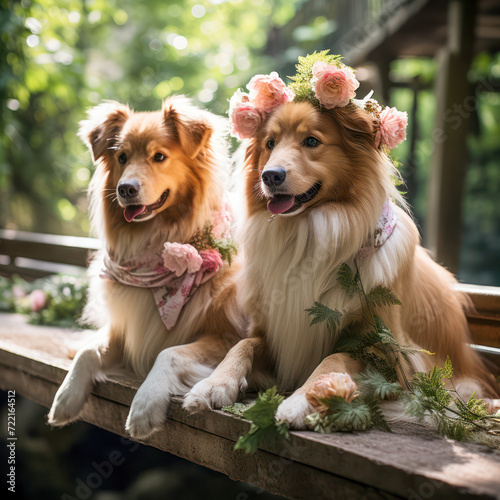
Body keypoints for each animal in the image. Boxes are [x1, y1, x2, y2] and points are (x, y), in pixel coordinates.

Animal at [47, 96, 247, 438]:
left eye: (159, 156)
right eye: (122, 157)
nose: (125, 188)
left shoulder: (225, 335)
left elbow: (169, 352)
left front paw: (145, 404)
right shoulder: (126, 327)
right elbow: (89, 352)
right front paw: (66, 397)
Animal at [186, 49, 498, 426]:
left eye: (311, 141)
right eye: (270, 144)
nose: (270, 176)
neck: (307, 233)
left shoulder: (387, 352)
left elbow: (332, 360)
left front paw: (302, 400)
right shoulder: (272, 333)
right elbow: (240, 345)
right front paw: (213, 384)